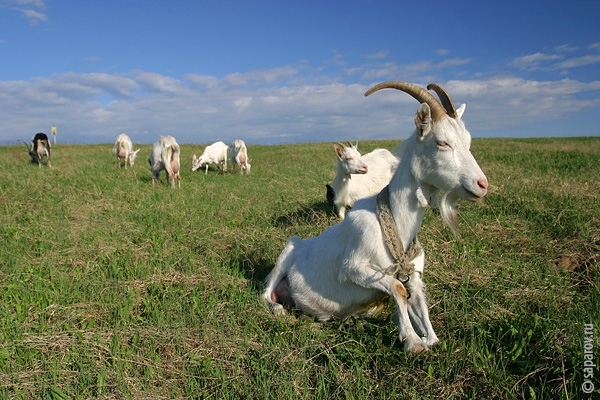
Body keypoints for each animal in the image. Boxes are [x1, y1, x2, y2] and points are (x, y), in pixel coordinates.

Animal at [262, 81, 488, 354]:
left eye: (468, 141)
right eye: (442, 142)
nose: (482, 184)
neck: (394, 225)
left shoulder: (414, 277)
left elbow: (416, 303)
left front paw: (424, 338)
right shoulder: (353, 267)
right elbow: (397, 288)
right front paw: (412, 341)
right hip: (287, 253)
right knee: (265, 293)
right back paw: (279, 309)